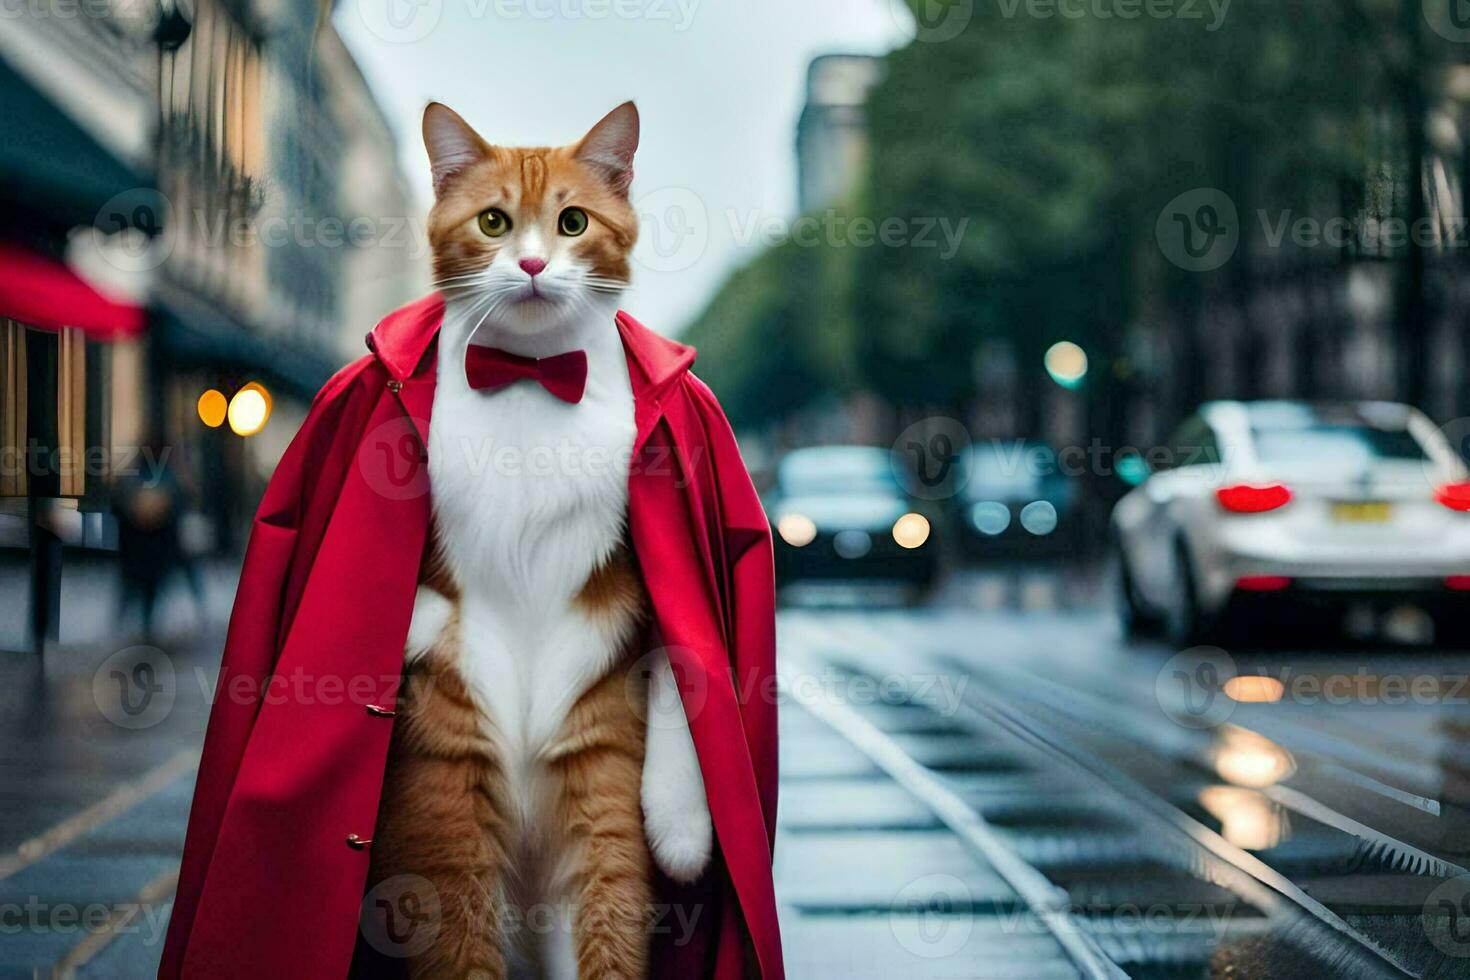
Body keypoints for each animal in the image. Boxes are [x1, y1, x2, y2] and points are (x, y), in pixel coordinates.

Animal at [366, 101, 711, 980]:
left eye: (572, 222)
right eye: (493, 222)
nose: (529, 265)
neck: (529, 378)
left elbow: (679, 656)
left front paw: (684, 823)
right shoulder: (446, 770)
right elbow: (428, 610)